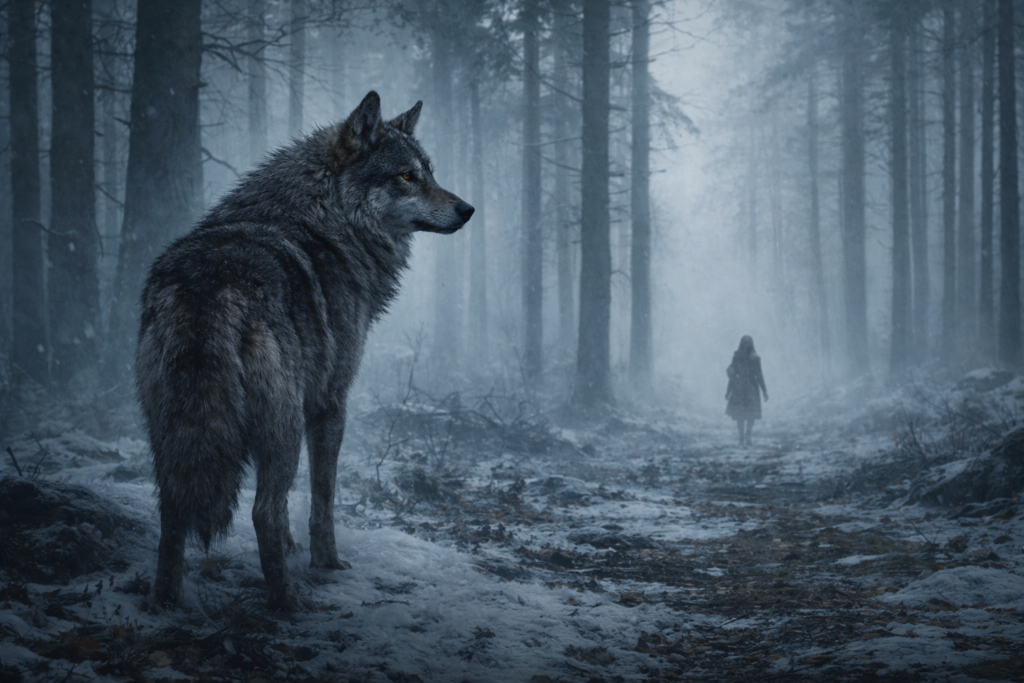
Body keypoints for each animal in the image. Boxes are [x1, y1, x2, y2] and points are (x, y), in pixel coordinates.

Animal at [136, 91, 473, 611]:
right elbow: (323, 497)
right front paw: (327, 562)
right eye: (406, 176)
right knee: (263, 510)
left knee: (173, 512)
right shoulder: (330, 400)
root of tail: (209, 291)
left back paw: (167, 602)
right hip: (285, 426)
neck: (326, 221)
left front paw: (298, 550)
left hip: (169, 432)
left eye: (429, 173)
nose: (468, 209)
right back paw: (288, 602)